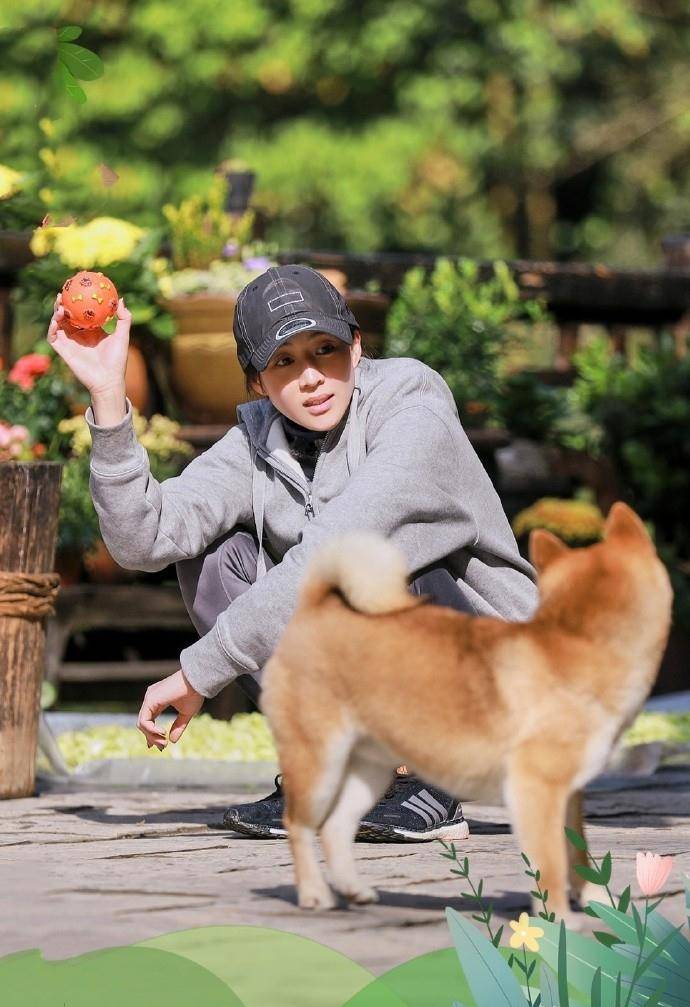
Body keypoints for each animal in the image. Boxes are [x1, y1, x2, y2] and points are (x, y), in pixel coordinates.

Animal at [259, 503, 672, 922]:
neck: (575, 647)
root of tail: (316, 608)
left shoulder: (570, 795)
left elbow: (579, 852)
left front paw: (598, 903)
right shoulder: (536, 791)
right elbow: (552, 863)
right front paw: (560, 920)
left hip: (369, 772)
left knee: (334, 828)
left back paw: (354, 891)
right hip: (318, 764)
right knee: (298, 824)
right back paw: (314, 893)